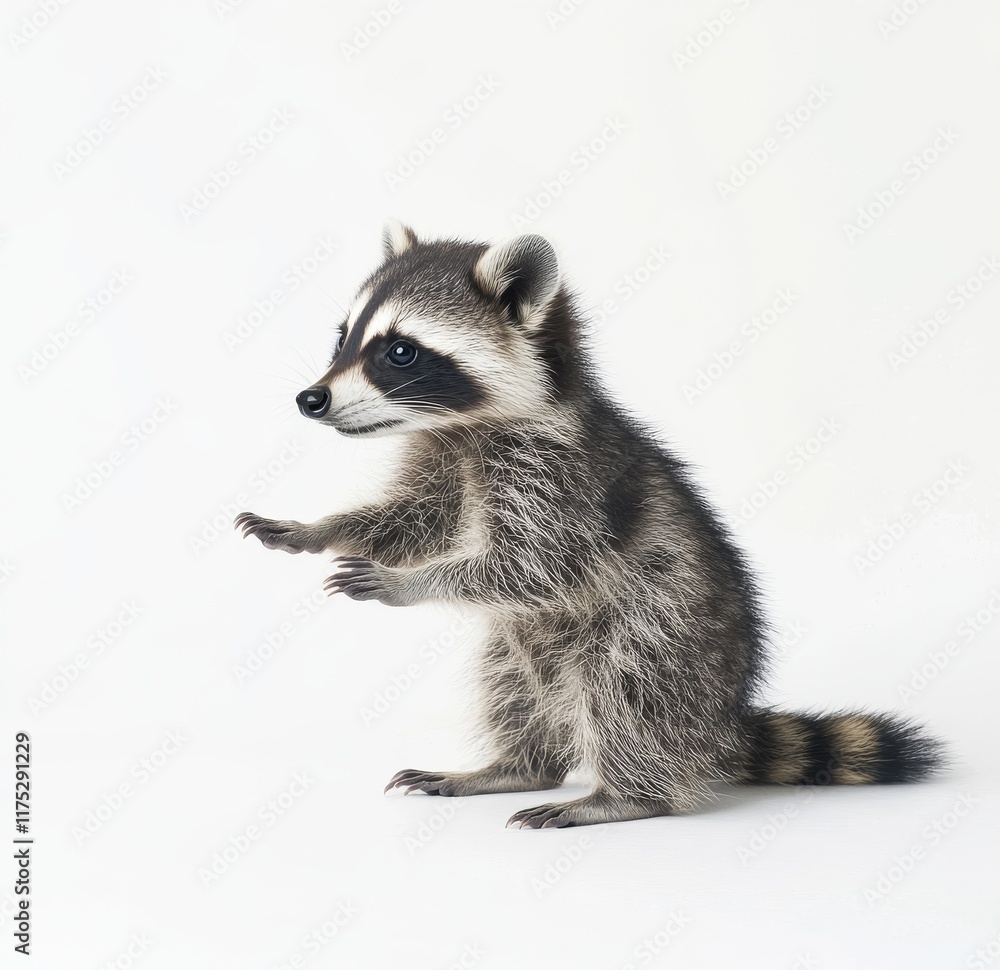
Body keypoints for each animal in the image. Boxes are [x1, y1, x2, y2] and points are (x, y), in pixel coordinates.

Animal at [235, 220, 943, 828]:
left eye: (401, 353)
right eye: (343, 339)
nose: (310, 399)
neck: (466, 429)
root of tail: (724, 720)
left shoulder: (561, 480)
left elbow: (533, 565)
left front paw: (412, 582)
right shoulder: (442, 459)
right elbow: (412, 521)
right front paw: (319, 527)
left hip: (664, 631)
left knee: (628, 693)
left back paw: (624, 795)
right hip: (525, 651)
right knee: (512, 689)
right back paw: (517, 766)